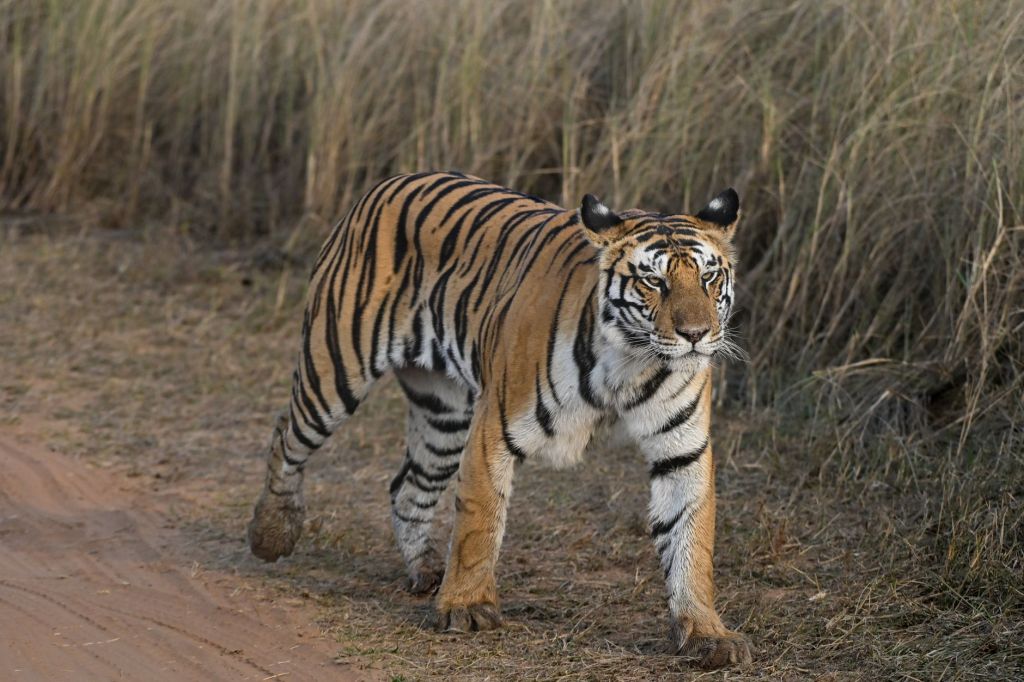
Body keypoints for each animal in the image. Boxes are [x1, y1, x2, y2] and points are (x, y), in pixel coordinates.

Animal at [247, 171, 753, 668]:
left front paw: (706, 633)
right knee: (286, 437)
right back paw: (271, 534)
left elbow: (690, 541)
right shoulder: (495, 429)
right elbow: (479, 522)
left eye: (709, 277)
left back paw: (427, 572)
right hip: (334, 370)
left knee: (407, 486)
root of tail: (387, 182)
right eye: (653, 281)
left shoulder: (681, 451)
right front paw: (467, 607)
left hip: (443, 413)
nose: (695, 335)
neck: (632, 362)